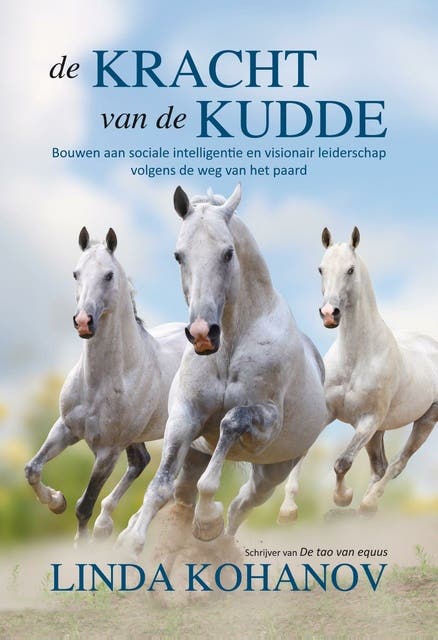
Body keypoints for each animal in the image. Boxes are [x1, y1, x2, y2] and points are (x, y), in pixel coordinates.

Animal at [25, 227, 186, 544]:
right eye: (76, 273)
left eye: (109, 275)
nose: (83, 322)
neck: (101, 381)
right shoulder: (65, 429)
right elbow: (32, 469)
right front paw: (56, 502)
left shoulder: (108, 452)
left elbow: (84, 505)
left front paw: (83, 544)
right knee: (141, 462)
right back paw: (108, 525)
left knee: (171, 480)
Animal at [116, 184, 329, 558]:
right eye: (179, 256)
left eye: (228, 253)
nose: (203, 334)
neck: (231, 343)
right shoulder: (184, 417)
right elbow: (160, 486)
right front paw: (132, 543)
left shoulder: (265, 422)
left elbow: (230, 425)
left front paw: (206, 522)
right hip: (196, 455)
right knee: (181, 493)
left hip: (273, 471)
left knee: (241, 504)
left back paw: (218, 543)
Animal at [317, 226, 438, 512]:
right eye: (321, 269)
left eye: (350, 269)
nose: (329, 313)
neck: (355, 359)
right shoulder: (329, 412)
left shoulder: (368, 420)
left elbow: (342, 462)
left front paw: (342, 497)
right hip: (379, 429)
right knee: (380, 466)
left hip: (425, 420)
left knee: (396, 464)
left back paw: (369, 502)